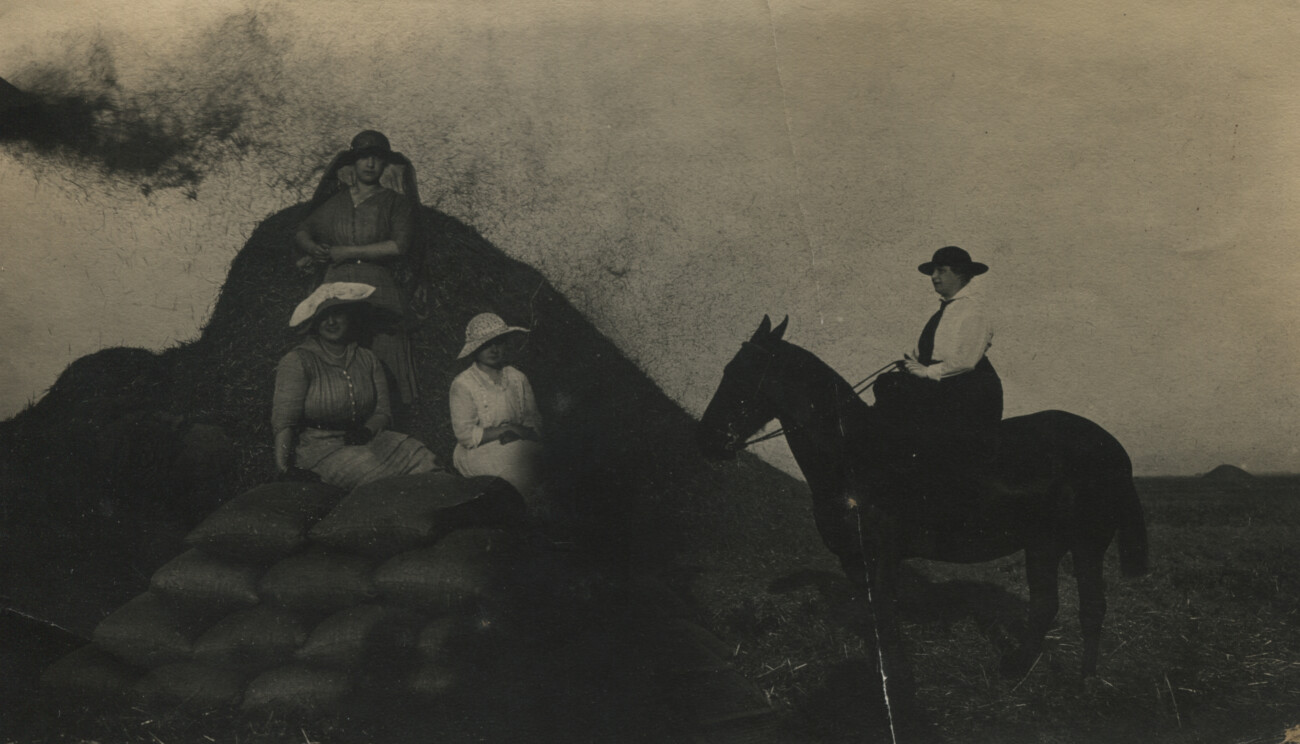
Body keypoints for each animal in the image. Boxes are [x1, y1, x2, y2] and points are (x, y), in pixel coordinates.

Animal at [697, 316, 1148, 721]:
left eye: (740, 374)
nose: (709, 440)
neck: (854, 454)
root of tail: (1114, 448)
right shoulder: (854, 560)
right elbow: (874, 622)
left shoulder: (879, 558)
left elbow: (884, 622)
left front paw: (897, 693)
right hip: (1043, 545)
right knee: (1044, 605)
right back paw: (1016, 669)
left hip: (1087, 546)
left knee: (1091, 609)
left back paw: (1085, 681)